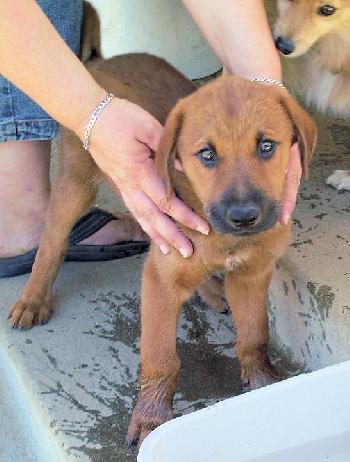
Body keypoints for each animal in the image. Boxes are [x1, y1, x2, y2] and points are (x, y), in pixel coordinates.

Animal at [126, 74, 318, 446]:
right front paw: (151, 417)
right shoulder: (161, 277)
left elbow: (255, 334)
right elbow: (159, 356)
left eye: (266, 146)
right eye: (207, 154)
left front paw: (262, 382)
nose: (244, 217)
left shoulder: (253, 273)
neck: (225, 239)